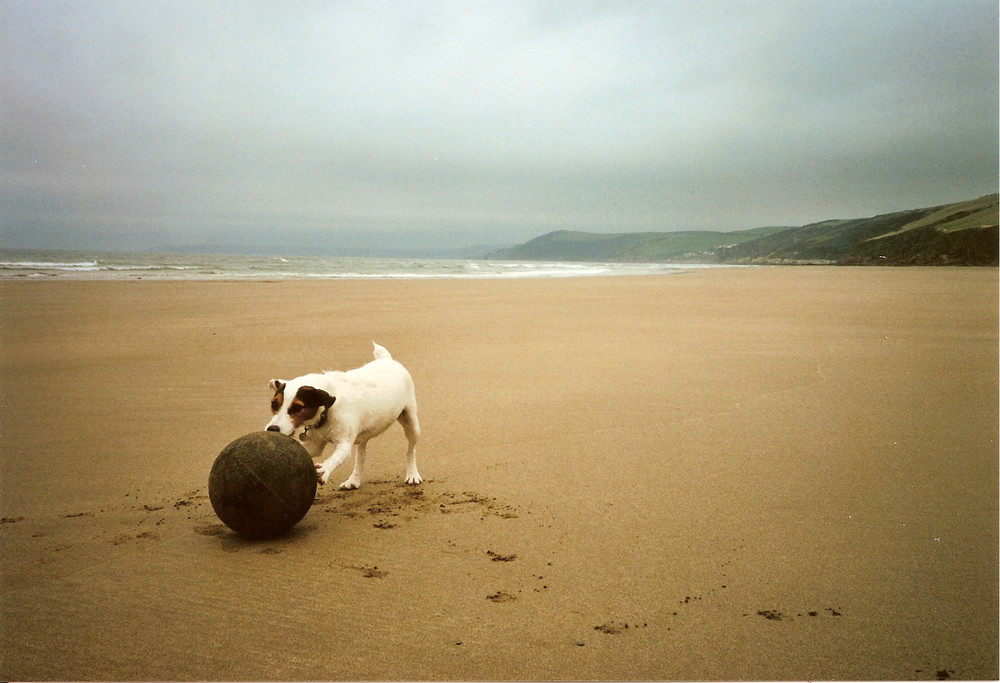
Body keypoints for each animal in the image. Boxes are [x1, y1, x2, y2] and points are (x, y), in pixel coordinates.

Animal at [264, 344, 420, 488]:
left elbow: (335, 459)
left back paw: (412, 474)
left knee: (411, 450)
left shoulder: (344, 445)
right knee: (361, 456)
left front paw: (324, 470)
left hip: (411, 423)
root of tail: (387, 360)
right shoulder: (314, 444)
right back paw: (353, 480)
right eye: (274, 404)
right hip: (363, 433)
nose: (272, 429)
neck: (326, 412)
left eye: (297, 407)